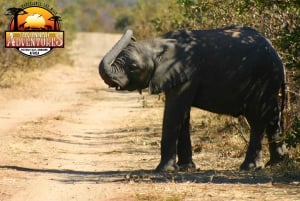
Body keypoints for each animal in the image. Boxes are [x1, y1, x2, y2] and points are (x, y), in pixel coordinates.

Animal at [99, 25, 288, 172]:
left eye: (133, 67)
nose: (132, 35)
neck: (158, 44)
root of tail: (278, 56)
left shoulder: (186, 74)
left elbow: (174, 112)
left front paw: (164, 171)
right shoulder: (179, 76)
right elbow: (182, 115)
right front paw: (186, 168)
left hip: (262, 79)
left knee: (257, 118)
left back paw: (249, 167)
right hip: (269, 81)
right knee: (272, 115)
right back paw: (276, 162)